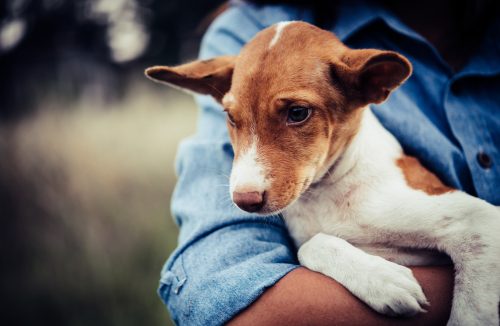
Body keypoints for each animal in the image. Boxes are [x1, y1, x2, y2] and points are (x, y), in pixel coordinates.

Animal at [146, 21, 500, 324]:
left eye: (298, 113)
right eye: (231, 118)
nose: (244, 200)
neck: (329, 193)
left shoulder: (480, 222)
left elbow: (471, 313)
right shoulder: (309, 236)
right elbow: (311, 245)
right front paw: (382, 280)